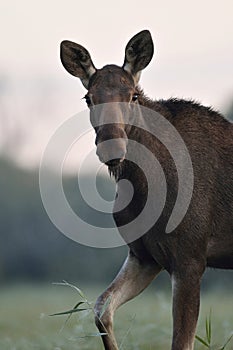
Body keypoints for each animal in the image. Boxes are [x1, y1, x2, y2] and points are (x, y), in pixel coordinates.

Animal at [60, 30, 233, 350]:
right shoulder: (144, 255)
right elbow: (101, 309)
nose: (112, 147)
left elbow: (181, 342)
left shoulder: (190, 258)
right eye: (89, 98)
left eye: (133, 95)